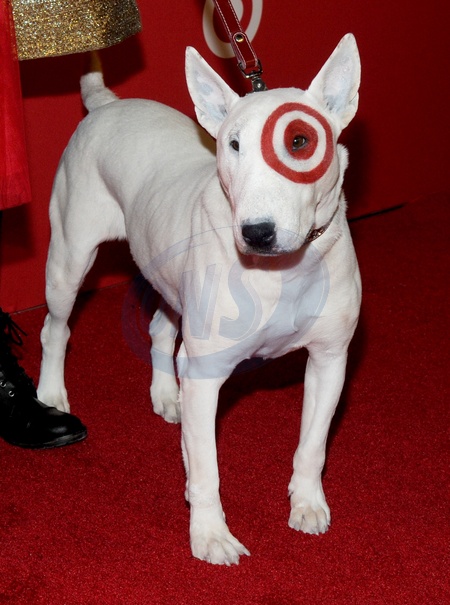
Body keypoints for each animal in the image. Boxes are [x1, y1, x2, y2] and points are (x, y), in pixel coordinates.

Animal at [38, 33, 361, 565]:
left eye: (300, 141)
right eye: (232, 144)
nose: (256, 233)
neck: (284, 270)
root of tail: (106, 104)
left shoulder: (330, 359)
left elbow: (313, 443)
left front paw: (308, 503)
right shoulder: (208, 373)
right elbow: (209, 467)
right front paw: (210, 534)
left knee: (160, 331)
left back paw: (167, 395)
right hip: (69, 256)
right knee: (55, 327)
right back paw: (50, 394)